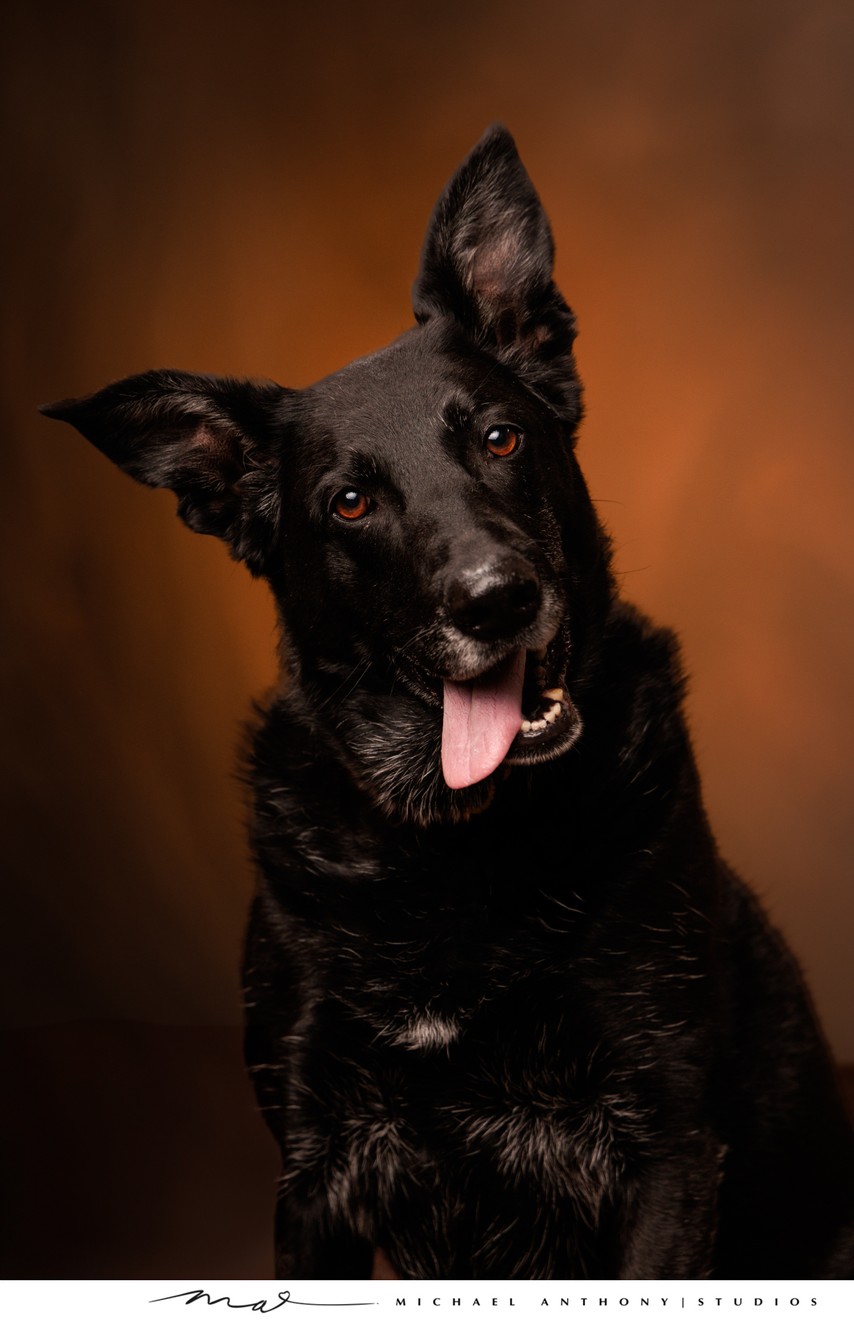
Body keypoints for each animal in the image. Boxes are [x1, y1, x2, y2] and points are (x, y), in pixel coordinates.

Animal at [43, 126, 854, 1279]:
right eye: (349, 501)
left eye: (500, 439)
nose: (494, 597)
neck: (454, 846)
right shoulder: (315, 1170)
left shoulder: (669, 1145)